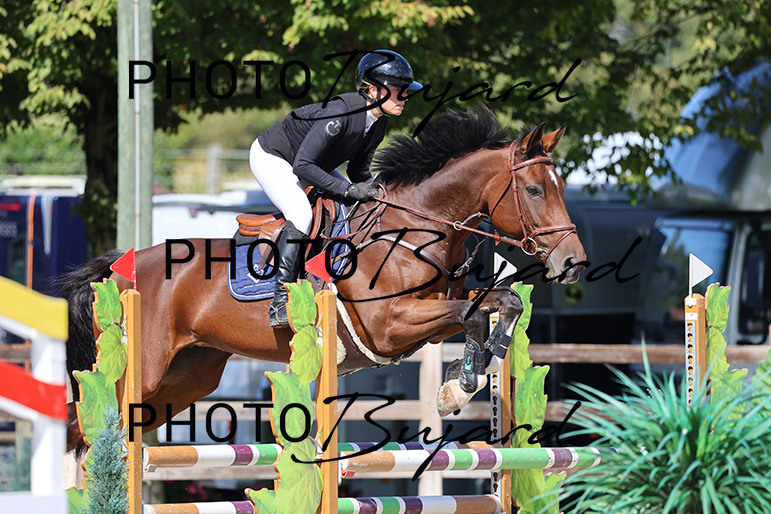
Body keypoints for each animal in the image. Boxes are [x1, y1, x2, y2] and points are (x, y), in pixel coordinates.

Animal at [59, 106, 586, 453]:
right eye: (534, 190)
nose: (574, 263)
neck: (414, 230)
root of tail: (119, 271)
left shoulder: (431, 315)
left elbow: (504, 302)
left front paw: (474, 369)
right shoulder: (391, 326)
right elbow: (469, 315)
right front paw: (461, 385)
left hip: (186, 377)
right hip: (144, 371)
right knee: (88, 423)